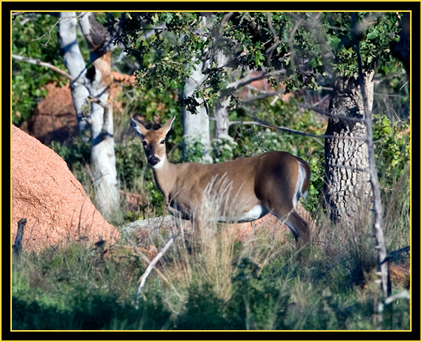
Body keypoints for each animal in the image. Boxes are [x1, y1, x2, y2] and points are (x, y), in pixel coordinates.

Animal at [132, 116, 314, 247]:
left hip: (278, 199)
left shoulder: (198, 210)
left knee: (303, 229)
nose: (154, 159)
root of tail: (298, 162)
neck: (173, 182)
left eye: (162, 140)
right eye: (144, 142)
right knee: (297, 233)